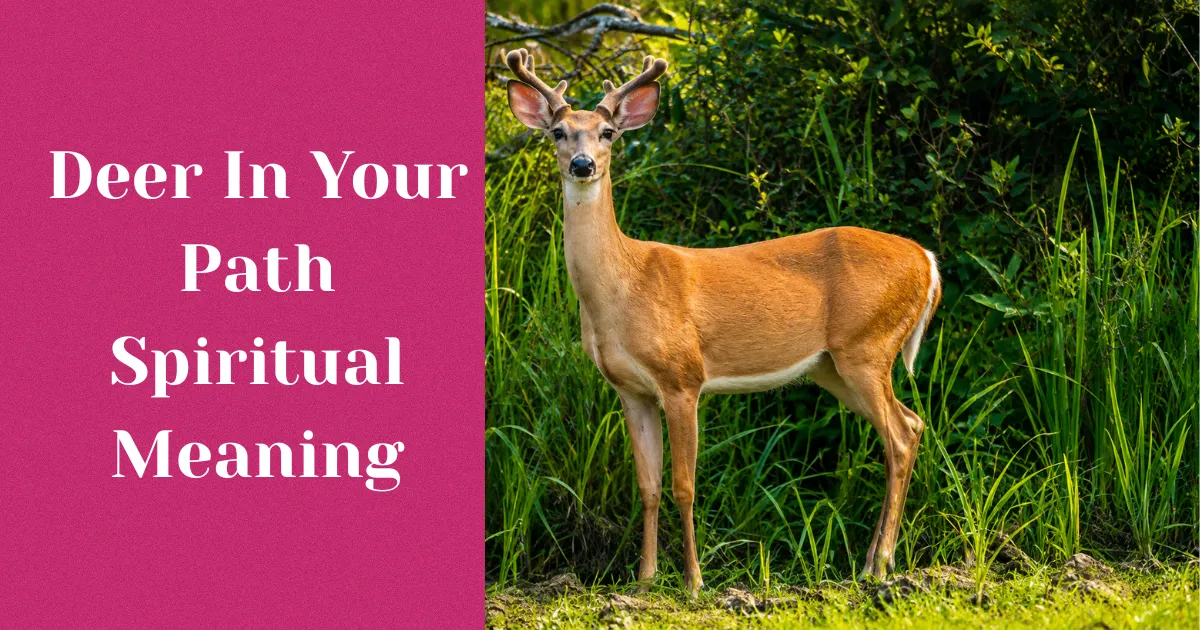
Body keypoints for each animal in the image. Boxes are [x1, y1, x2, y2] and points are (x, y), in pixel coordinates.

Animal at [502, 48, 941, 595]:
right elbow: (647, 486)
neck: (623, 289)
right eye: (559, 132)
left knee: (900, 436)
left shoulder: (682, 377)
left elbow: (684, 485)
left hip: (867, 345)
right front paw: (643, 581)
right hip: (833, 366)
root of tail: (927, 261)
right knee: (912, 424)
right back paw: (871, 562)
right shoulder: (630, 389)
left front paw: (693, 582)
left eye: (607, 133)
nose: (582, 165)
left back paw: (878, 565)